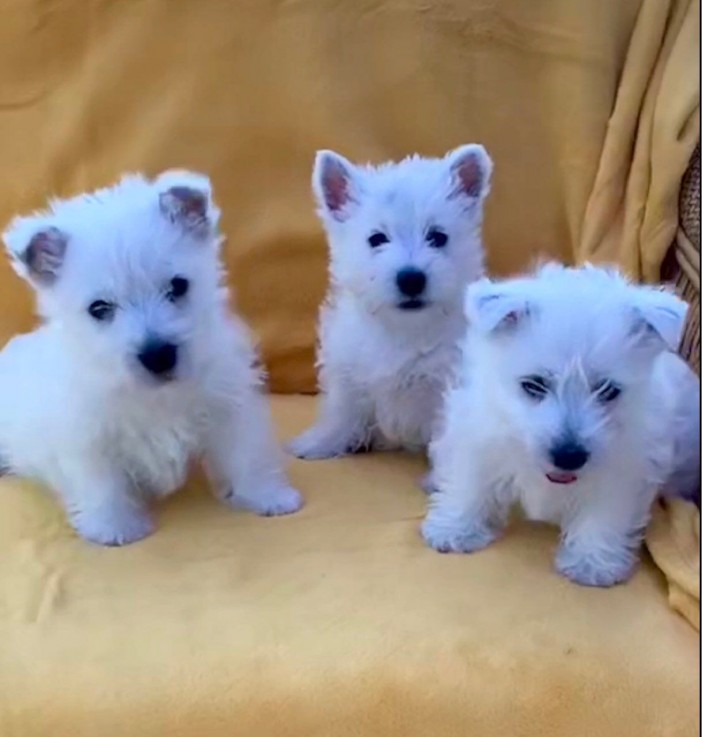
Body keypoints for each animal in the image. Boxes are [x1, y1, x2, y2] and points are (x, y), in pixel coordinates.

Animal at [0, 170, 302, 544]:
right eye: (99, 308)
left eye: (178, 286)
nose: (158, 355)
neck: (156, 397)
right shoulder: (87, 434)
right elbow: (102, 483)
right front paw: (115, 527)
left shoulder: (229, 404)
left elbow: (247, 454)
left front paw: (268, 496)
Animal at [420, 264, 700, 588]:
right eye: (533, 385)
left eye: (608, 390)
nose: (569, 456)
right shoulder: (478, 434)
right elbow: (471, 481)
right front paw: (455, 529)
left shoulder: (625, 467)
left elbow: (605, 513)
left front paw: (591, 563)